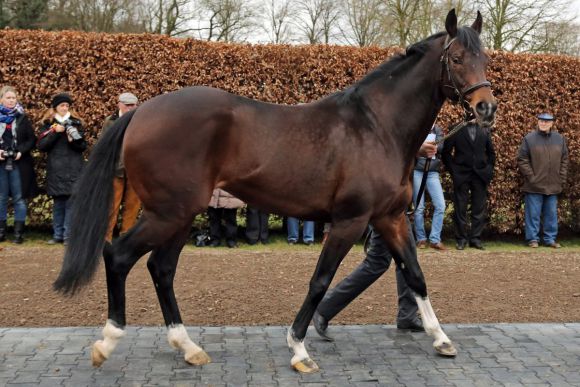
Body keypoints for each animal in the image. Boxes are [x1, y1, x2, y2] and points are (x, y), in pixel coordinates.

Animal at [54, 8, 496, 372]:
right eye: (457, 58)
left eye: (486, 58)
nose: (486, 108)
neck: (375, 127)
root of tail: (140, 113)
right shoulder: (350, 221)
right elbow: (321, 280)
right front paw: (299, 348)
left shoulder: (390, 219)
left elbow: (415, 275)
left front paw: (441, 339)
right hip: (168, 213)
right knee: (119, 255)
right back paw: (108, 341)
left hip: (177, 215)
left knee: (161, 269)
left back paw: (187, 346)